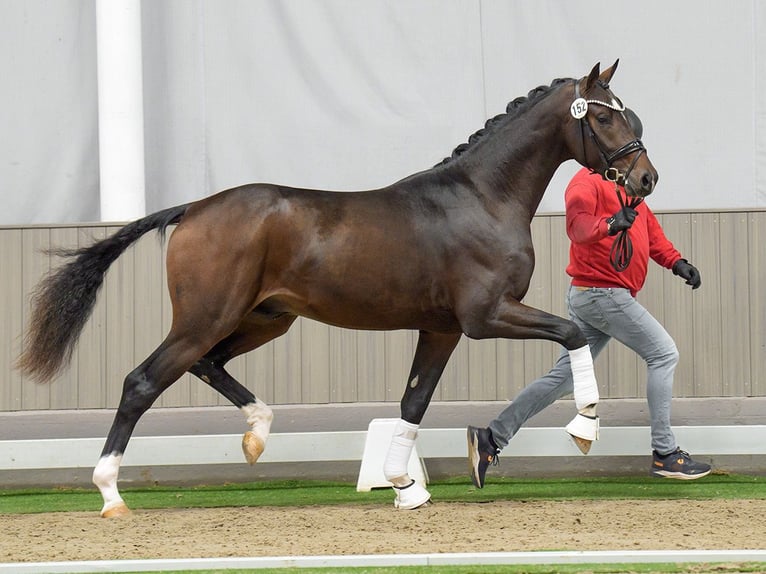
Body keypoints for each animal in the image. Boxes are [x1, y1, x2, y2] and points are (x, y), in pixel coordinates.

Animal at [15, 60, 656, 520]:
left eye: (630, 115)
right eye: (604, 119)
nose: (646, 178)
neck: (482, 197)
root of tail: (193, 208)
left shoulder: (443, 328)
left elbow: (413, 404)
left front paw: (404, 487)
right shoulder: (486, 316)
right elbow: (572, 333)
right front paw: (585, 427)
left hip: (264, 318)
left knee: (207, 365)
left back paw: (256, 435)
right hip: (207, 317)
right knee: (142, 381)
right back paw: (110, 494)